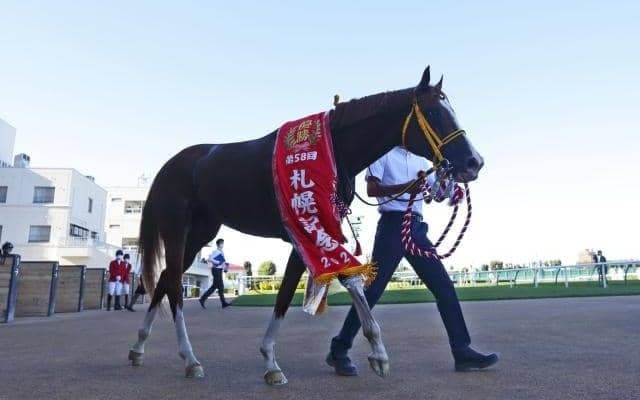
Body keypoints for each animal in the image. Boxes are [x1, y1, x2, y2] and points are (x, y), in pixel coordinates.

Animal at [128, 66, 484, 385]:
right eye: (436, 112)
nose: (474, 162)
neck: (333, 148)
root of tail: (169, 166)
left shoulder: (314, 232)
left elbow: (314, 287)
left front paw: (374, 353)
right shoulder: (305, 230)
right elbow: (308, 288)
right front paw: (273, 361)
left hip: (201, 232)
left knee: (164, 279)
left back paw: (139, 347)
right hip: (176, 229)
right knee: (175, 284)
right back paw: (190, 359)